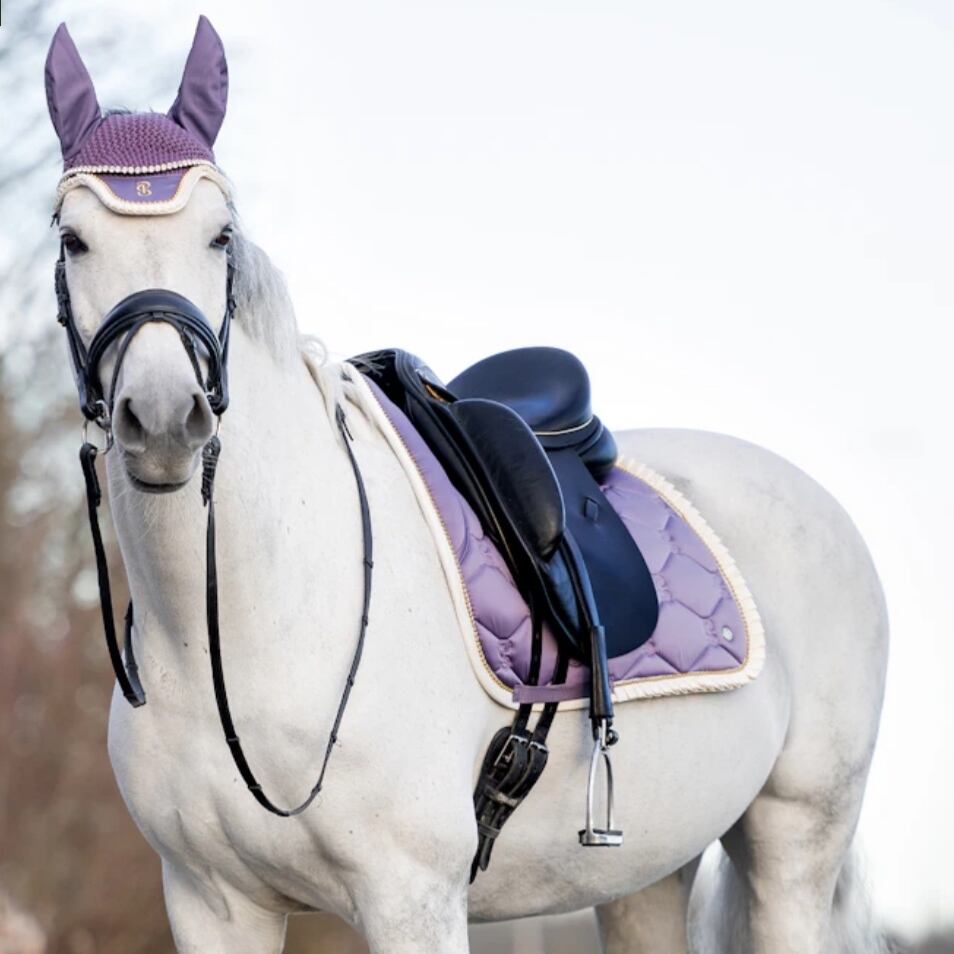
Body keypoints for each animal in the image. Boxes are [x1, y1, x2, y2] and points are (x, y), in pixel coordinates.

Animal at [44, 17, 888, 954]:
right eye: (73, 239)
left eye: (220, 235)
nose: (163, 418)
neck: (242, 632)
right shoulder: (211, 904)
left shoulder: (412, 897)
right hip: (649, 869)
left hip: (796, 837)